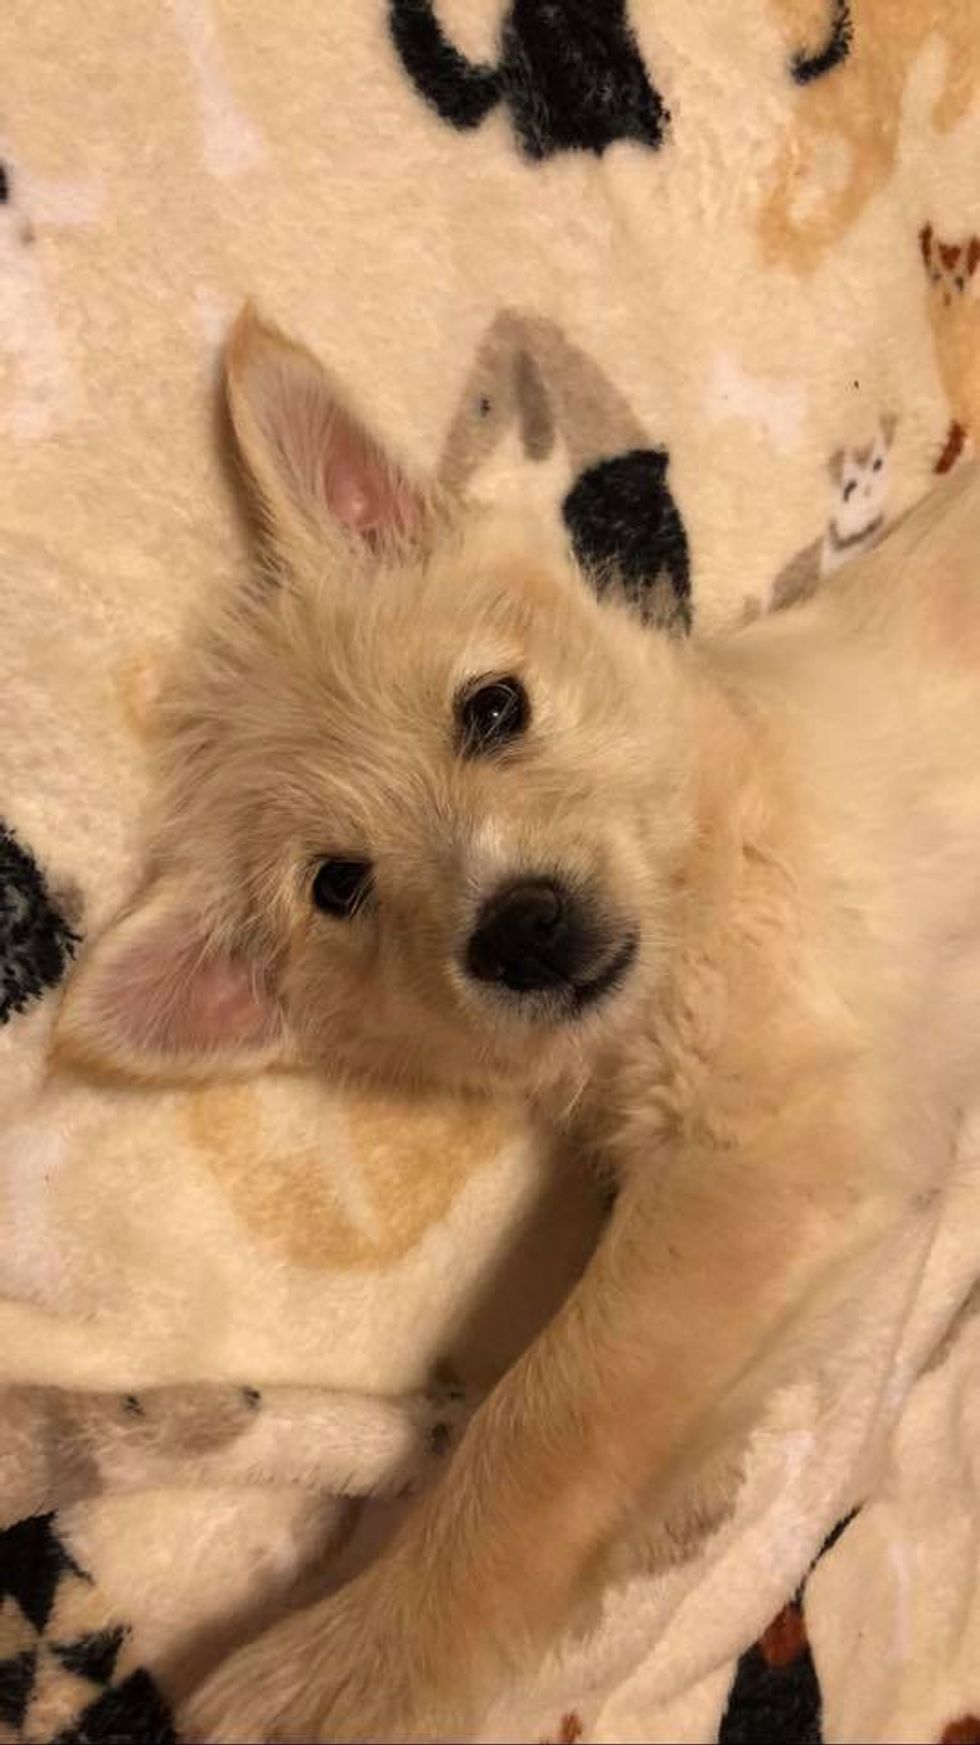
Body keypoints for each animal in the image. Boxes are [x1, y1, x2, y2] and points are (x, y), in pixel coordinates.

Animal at [54, 308, 980, 1741]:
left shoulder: (773, 1153)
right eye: (338, 886)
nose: (520, 928)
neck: (700, 855)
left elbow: (538, 1436)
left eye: (492, 707)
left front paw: (339, 1670)